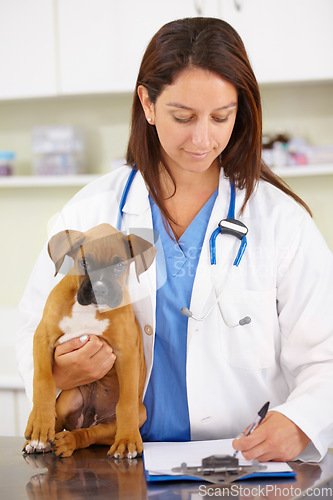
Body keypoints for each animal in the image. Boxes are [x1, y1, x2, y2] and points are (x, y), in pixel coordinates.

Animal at [23, 225, 156, 458]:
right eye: (85, 263)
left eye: (119, 266)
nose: (99, 289)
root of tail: (89, 418)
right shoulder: (42, 338)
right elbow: (43, 381)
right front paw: (39, 425)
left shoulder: (127, 354)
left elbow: (127, 403)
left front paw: (128, 441)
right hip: (68, 399)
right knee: (60, 422)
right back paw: (41, 440)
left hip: (126, 420)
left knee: (89, 434)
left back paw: (69, 441)